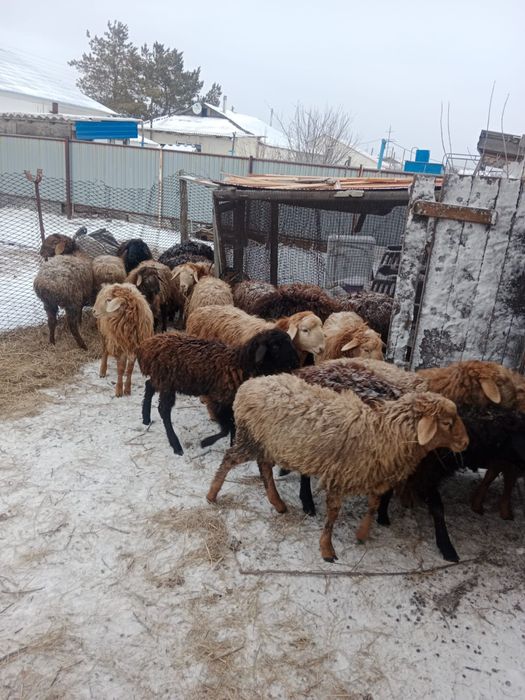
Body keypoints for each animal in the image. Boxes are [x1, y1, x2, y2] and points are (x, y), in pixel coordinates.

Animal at [137, 329, 300, 455]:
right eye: (275, 346)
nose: (296, 362)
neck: (241, 364)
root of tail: (147, 345)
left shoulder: (231, 401)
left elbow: (232, 426)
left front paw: (233, 446)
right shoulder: (218, 399)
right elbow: (226, 429)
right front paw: (206, 442)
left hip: (161, 378)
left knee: (149, 385)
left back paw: (146, 418)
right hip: (166, 381)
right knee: (164, 410)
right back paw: (176, 445)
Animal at [207, 373, 468, 562]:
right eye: (447, 423)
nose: (466, 443)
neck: (383, 432)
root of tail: (248, 385)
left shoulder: (373, 476)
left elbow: (373, 505)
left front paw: (362, 534)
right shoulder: (339, 475)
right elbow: (333, 514)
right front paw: (327, 550)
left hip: (268, 444)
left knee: (264, 468)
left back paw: (278, 503)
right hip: (250, 438)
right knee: (229, 459)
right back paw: (212, 494)